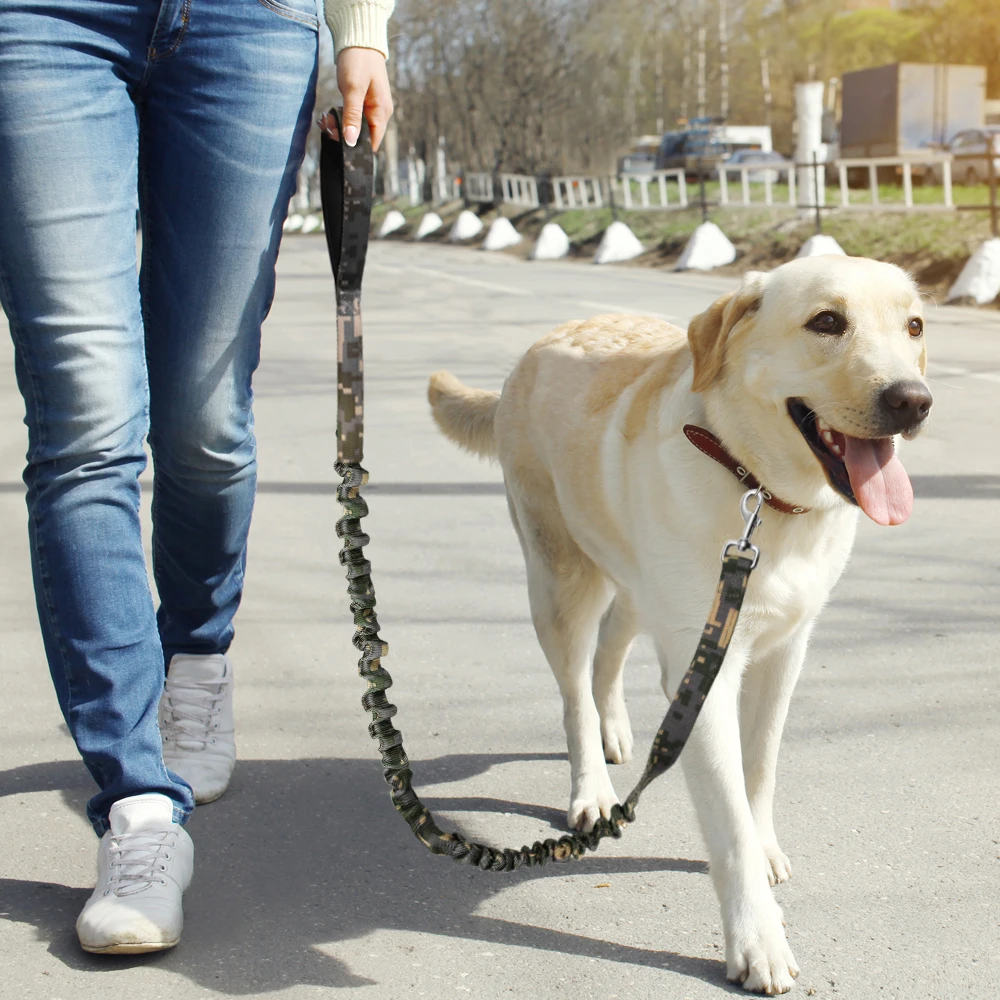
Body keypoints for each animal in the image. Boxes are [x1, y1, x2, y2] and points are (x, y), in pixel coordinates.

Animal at [426, 258, 932, 992]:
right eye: (826, 322)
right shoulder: (707, 675)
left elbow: (760, 770)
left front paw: (765, 843)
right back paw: (591, 786)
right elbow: (728, 821)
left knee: (610, 650)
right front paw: (758, 939)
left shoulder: (782, 653)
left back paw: (614, 730)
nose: (913, 401)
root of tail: (539, 346)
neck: (760, 489)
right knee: (574, 691)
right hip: (560, 581)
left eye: (914, 326)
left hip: (640, 586)